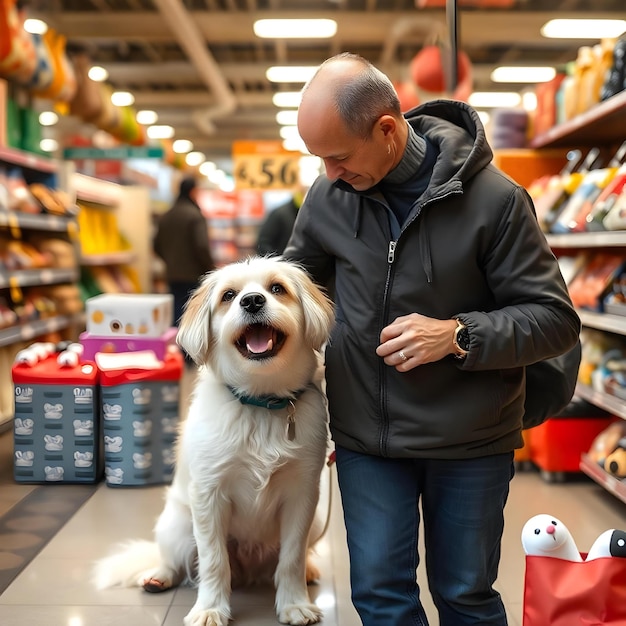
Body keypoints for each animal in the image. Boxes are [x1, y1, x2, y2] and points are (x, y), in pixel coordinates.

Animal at [92, 255, 334, 624]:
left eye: (277, 288)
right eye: (229, 295)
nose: (252, 301)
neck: (259, 404)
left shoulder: (302, 495)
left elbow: (291, 557)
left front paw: (294, 603)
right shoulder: (209, 496)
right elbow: (213, 561)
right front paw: (209, 609)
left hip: (316, 520)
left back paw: (307, 570)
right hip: (177, 523)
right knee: (174, 561)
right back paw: (158, 576)